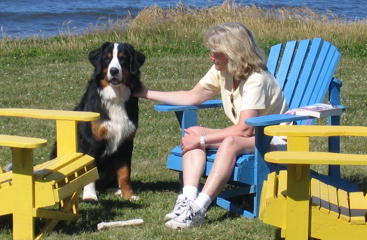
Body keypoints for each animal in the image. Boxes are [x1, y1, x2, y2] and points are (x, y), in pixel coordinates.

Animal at [76, 41, 145, 201]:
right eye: (107, 59)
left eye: (123, 58)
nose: (114, 71)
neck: (115, 98)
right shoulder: (91, 141)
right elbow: (90, 172)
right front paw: (90, 196)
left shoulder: (126, 142)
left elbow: (125, 172)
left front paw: (129, 195)